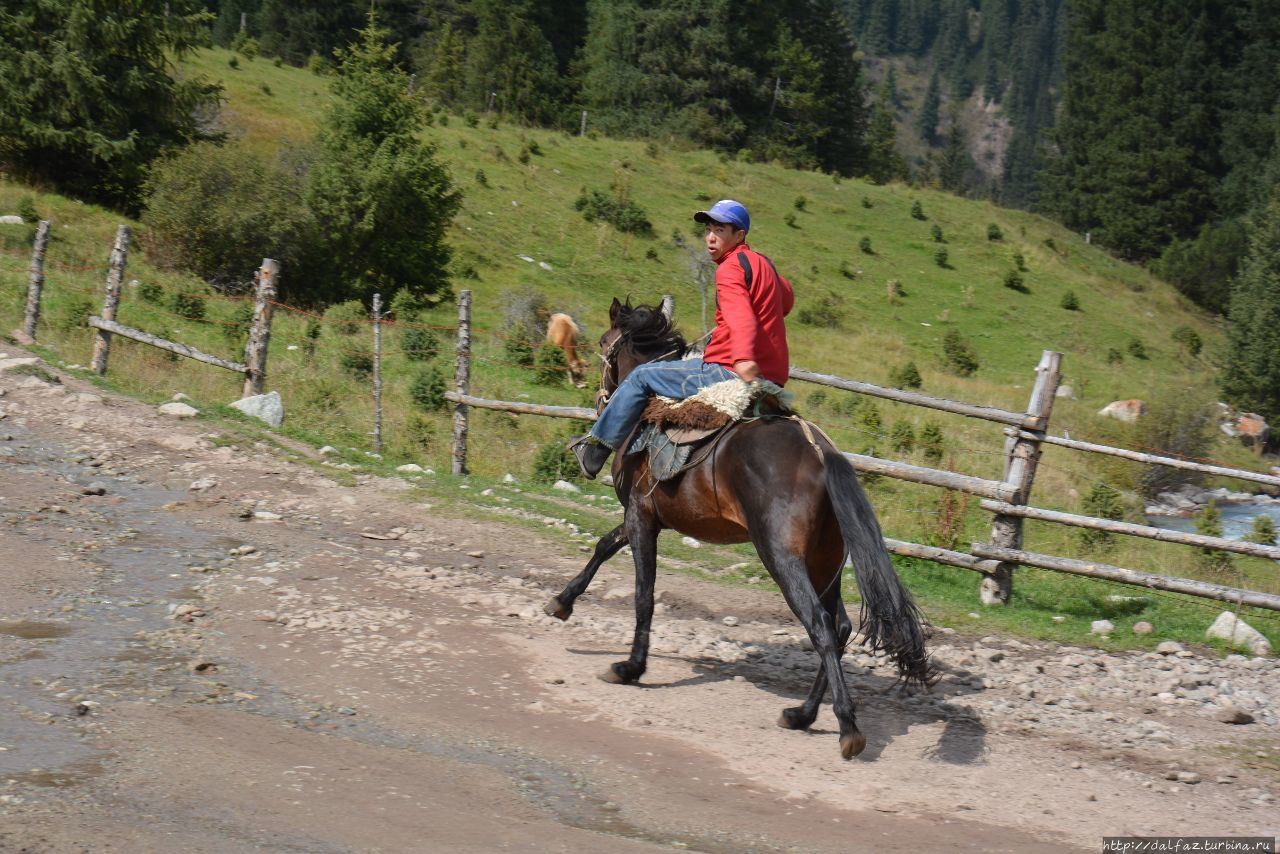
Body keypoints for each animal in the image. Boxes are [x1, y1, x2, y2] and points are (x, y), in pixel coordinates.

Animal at [547, 300, 931, 763]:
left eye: (605, 343)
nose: (597, 394)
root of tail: (822, 454)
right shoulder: (643, 516)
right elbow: (604, 546)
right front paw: (562, 601)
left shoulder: (641, 517)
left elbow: (643, 595)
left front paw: (631, 667)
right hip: (825, 564)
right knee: (838, 628)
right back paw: (801, 714)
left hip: (782, 558)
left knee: (821, 626)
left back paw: (847, 728)